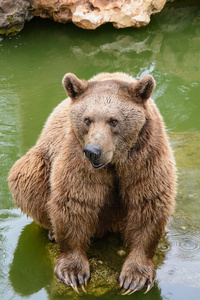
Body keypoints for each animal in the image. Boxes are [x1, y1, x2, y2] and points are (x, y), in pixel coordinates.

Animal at [8, 71, 176, 294]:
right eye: (87, 119)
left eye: (114, 121)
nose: (93, 151)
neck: (115, 161)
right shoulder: (78, 158)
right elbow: (75, 201)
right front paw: (74, 273)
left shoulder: (145, 155)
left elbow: (148, 202)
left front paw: (135, 278)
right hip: (41, 160)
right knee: (27, 177)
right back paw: (52, 231)